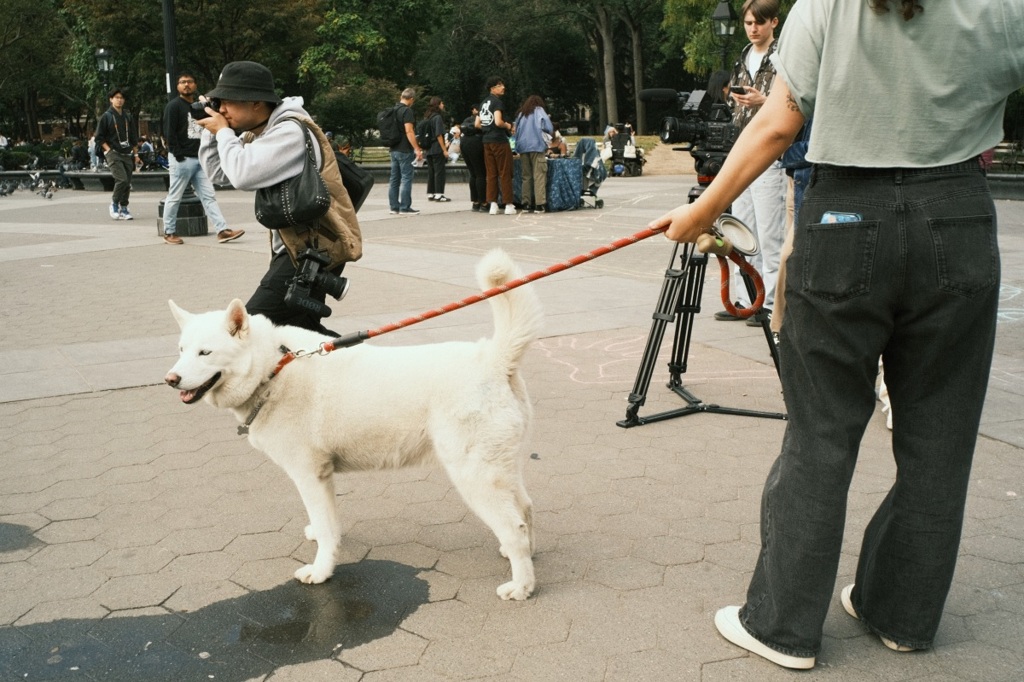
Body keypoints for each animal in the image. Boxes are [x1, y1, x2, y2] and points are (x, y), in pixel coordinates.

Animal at [163, 250, 544, 602]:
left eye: (205, 353)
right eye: (181, 349)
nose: (171, 379)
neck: (274, 369)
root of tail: (493, 359)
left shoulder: (309, 475)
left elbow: (327, 530)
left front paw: (321, 571)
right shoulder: (323, 476)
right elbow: (327, 525)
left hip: (474, 476)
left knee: (513, 526)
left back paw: (522, 586)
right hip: (502, 468)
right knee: (525, 509)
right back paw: (524, 555)